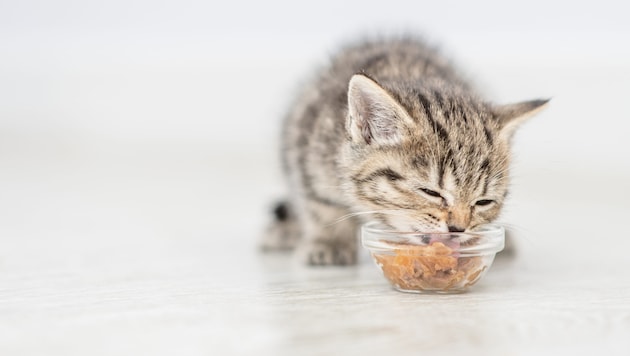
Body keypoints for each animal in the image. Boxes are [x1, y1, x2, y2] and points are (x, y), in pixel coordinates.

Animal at [262, 36, 548, 264]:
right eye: (430, 192)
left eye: (483, 202)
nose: (458, 229)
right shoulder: (308, 140)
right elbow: (320, 203)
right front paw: (330, 240)